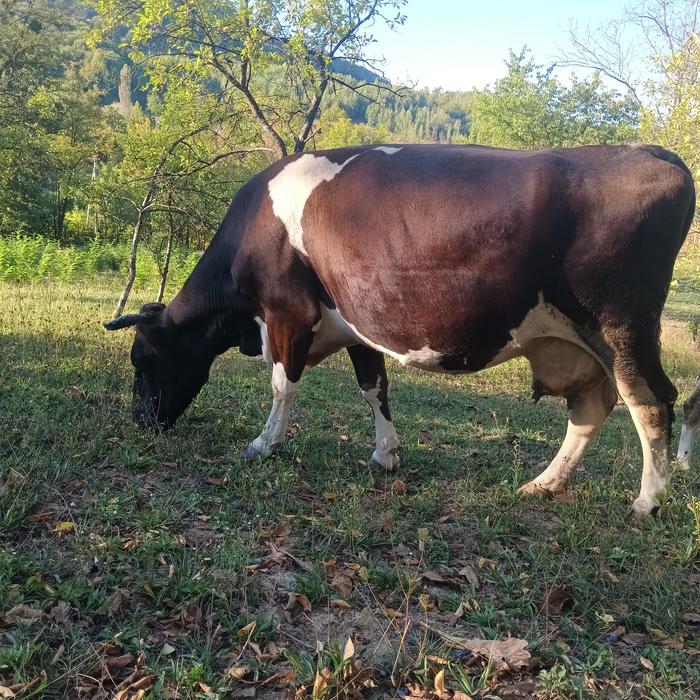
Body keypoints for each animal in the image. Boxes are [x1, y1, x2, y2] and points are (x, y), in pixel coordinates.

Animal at [104, 143, 695, 517]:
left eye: (142, 358)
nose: (139, 419)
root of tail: (650, 151)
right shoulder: (353, 323)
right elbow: (374, 386)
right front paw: (386, 455)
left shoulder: (287, 312)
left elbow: (282, 385)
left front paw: (264, 444)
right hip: (583, 341)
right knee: (592, 409)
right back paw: (544, 484)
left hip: (623, 329)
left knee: (653, 403)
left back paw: (648, 501)